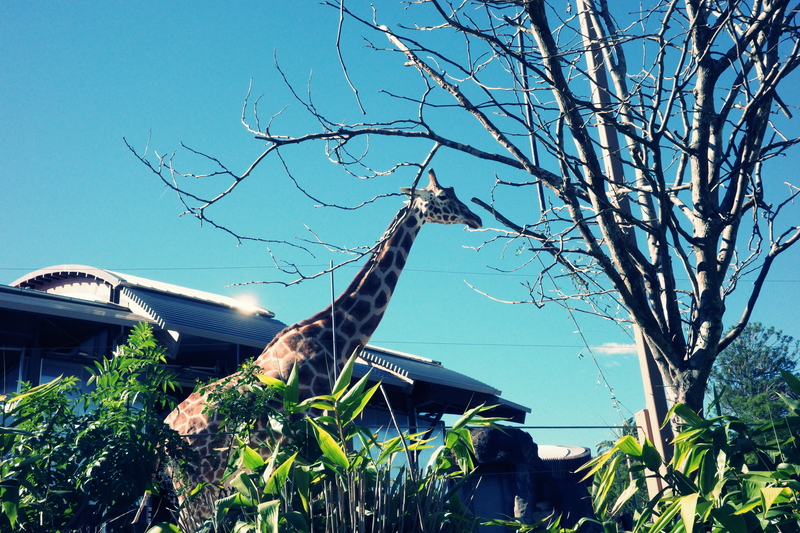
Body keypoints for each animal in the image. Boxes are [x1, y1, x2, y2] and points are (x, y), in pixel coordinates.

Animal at [164, 169, 482, 525]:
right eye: (443, 197)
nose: (476, 218)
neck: (332, 338)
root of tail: (166, 433)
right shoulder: (314, 430)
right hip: (198, 481)